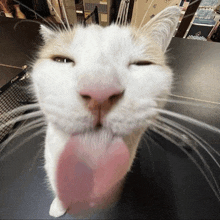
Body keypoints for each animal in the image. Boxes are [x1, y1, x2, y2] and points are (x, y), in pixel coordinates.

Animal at [29, 5, 180, 218]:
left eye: (141, 63)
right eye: (63, 60)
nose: (99, 90)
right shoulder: (51, 160)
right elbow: (58, 187)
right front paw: (59, 206)